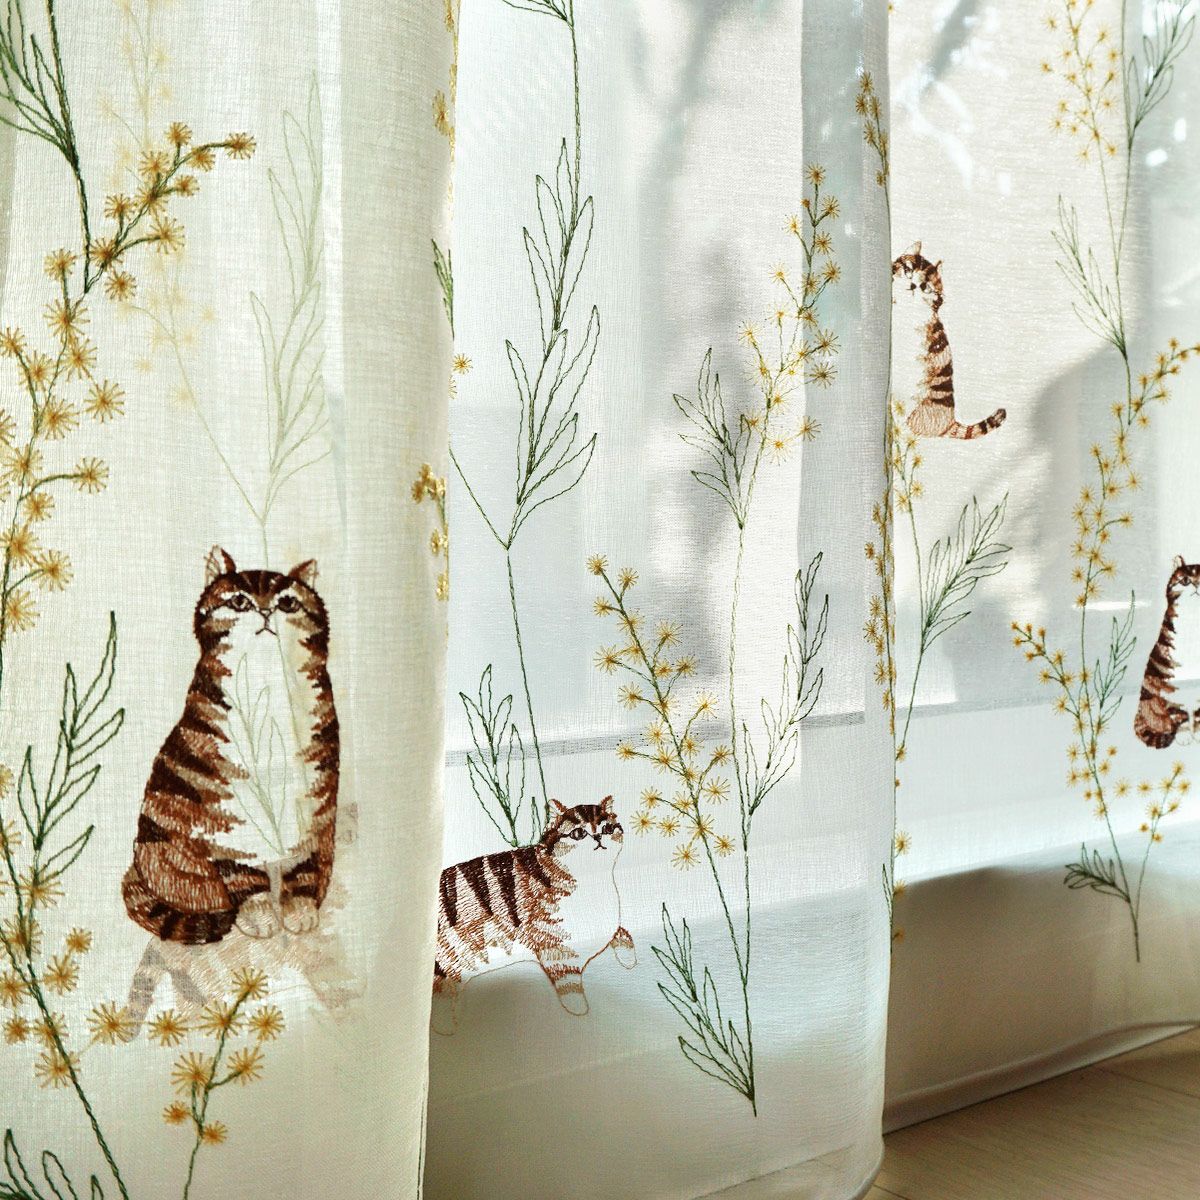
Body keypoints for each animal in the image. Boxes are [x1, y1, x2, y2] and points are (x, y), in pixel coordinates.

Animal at [122, 546, 339, 945]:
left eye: (288, 603)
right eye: (240, 601)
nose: (266, 611)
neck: (267, 690)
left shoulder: (315, 794)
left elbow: (304, 862)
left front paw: (300, 908)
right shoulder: (223, 808)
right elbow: (241, 871)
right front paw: (260, 915)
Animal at [432, 797, 635, 1030]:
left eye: (608, 828)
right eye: (578, 833)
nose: (599, 837)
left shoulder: (608, 923)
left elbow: (622, 933)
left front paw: (629, 958)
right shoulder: (553, 946)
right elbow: (570, 985)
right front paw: (580, 1012)